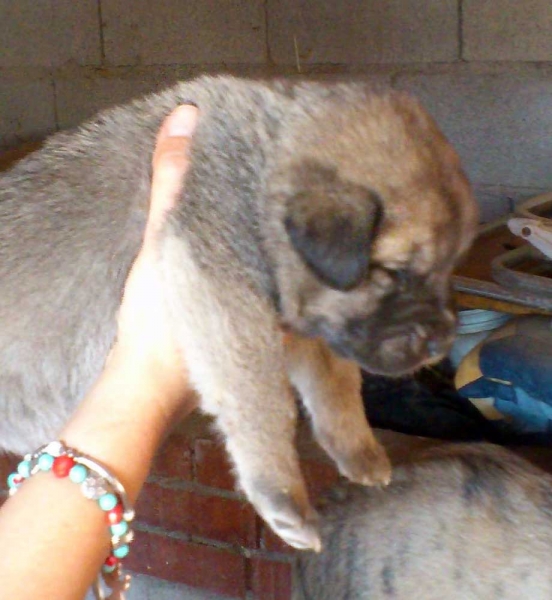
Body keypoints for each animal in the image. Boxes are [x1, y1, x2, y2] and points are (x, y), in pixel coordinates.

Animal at [0, 77, 476, 552]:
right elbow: (263, 399)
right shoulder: (223, 290)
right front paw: (282, 494)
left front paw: (359, 450)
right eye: (395, 273)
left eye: (451, 266)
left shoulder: (308, 325)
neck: (257, 176)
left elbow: (336, 385)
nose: (443, 341)